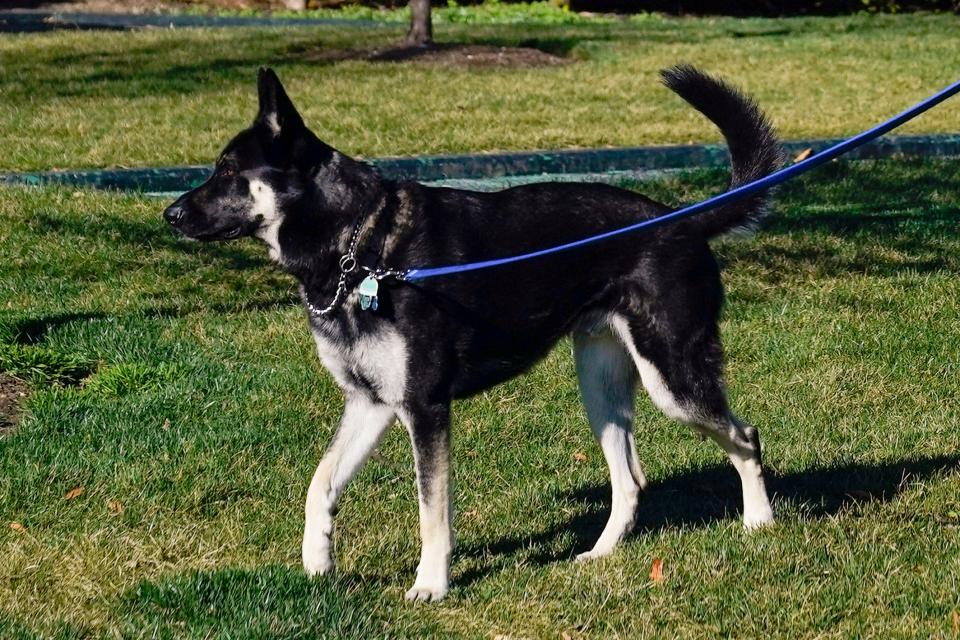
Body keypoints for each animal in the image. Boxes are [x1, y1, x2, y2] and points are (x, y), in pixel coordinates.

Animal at [165, 67, 780, 604]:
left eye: (228, 170)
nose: (170, 215)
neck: (359, 246)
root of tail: (684, 220)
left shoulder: (424, 408)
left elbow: (431, 511)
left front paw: (430, 586)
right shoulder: (369, 403)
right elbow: (321, 485)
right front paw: (318, 564)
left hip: (673, 380)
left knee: (745, 438)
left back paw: (759, 523)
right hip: (601, 386)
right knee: (630, 480)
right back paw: (598, 556)